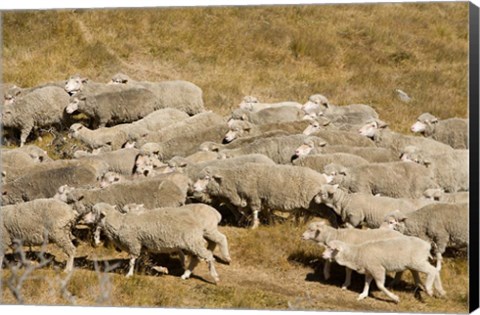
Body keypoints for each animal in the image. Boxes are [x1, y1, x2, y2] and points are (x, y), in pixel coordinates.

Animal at [191, 164, 330, 228]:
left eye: (206, 178)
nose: (194, 187)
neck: (236, 180)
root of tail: (322, 178)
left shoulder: (254, 197)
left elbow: (254, 211)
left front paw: (254, 225)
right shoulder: (252, 198)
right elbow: (248, 211)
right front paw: (243, 221)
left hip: (312, 203)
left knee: (308, 214)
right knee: (302, 213)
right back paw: (296, 223)